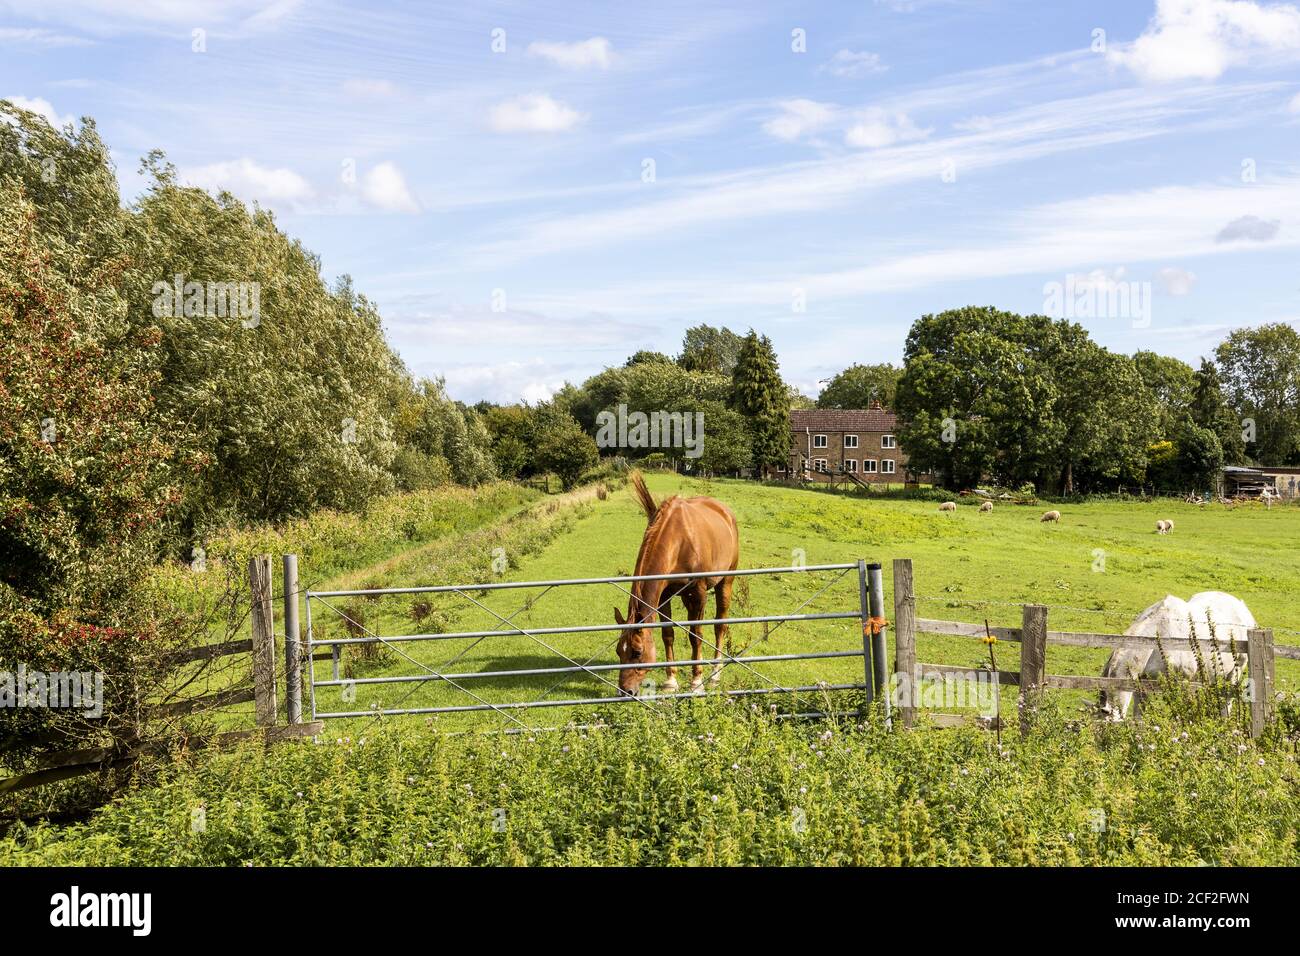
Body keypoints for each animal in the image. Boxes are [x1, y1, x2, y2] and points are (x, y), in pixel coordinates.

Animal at [611, 470, 738, 697]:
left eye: (637, 652)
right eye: (618, 651)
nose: (625, 691)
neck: (678, 541)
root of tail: (725, 511)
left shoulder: (699, 593)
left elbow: (696, 635)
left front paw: (697, 681)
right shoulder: (665, 595)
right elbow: (668, 634)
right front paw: (671, 681)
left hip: (726, 581)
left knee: (720, 624)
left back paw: (715, 673)